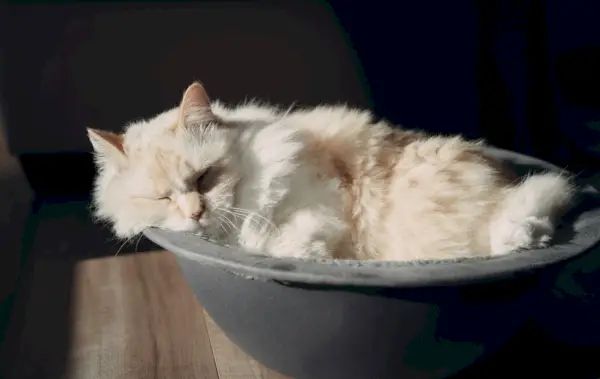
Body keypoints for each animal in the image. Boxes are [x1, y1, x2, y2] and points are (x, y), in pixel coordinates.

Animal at [86, 82, 576, 262]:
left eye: (204, 178)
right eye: (162, 198)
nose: (195, 213)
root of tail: (502, 177)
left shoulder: (321, 200)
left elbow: (292, 238)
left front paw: (305, 253)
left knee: (538, 203)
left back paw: (522, 238)